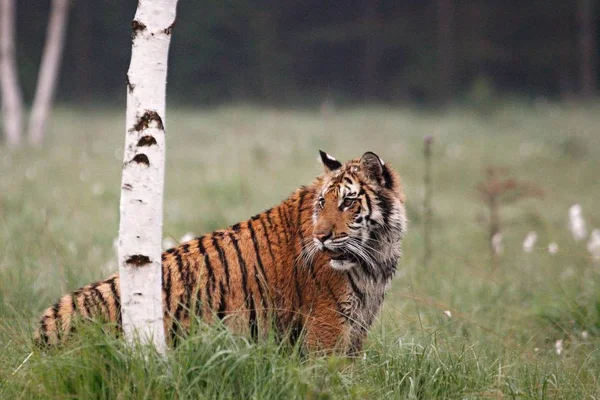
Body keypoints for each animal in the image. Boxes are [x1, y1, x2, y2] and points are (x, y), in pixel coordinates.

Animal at [34, 150, 408, 354]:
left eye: (347, 202)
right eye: (322, 203)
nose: (321, 237)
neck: (375, 257)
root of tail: (45, 323)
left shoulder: (357, 328)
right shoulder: (327, 327)